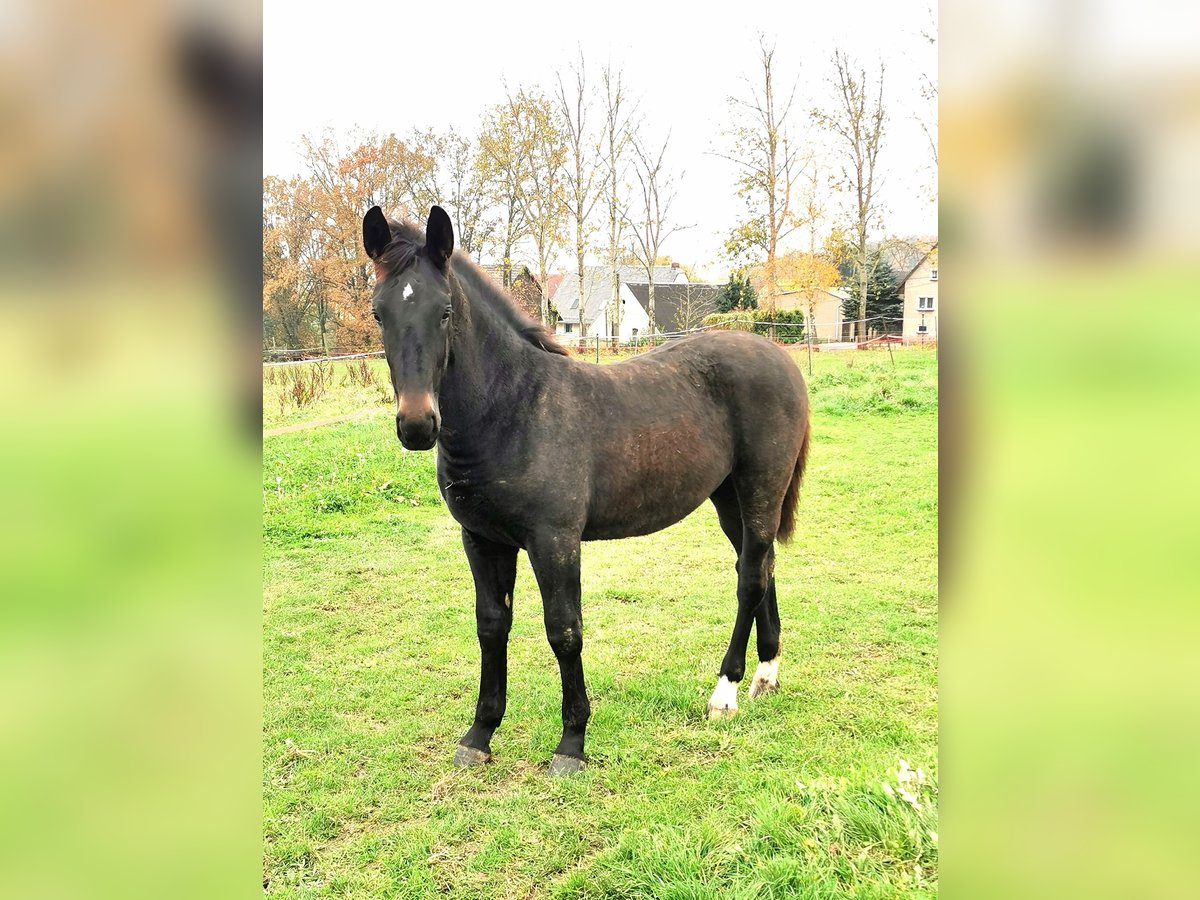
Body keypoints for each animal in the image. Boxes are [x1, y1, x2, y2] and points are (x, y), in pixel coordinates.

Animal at [364, 204, 811, 777]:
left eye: (443, 312)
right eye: (379, 314)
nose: (418, 425)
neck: (513, 410)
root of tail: (779, 356)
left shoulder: (554, 540)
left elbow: (564, 630)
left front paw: (571, 743)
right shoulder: (482, 540)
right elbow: (491, 626)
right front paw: (480, 734)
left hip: (760, 489)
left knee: (750, 578)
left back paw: (725, 692)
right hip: (729, 499)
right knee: (761, 565)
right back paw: (766, 674)